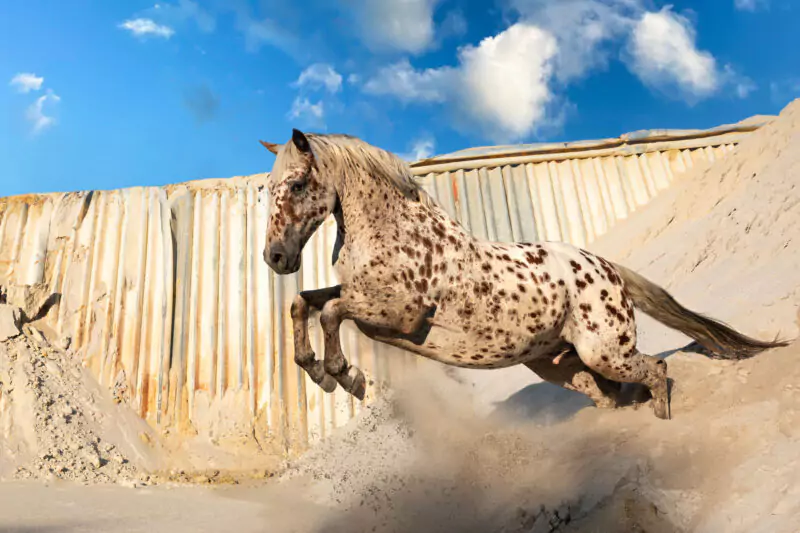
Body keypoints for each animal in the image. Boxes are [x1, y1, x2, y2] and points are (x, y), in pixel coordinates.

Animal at [258, 129, 788, 420]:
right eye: (268, 188)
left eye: (299, 184)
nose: (275, 258)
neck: (394, 230)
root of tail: (606, 267)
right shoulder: (360, 297)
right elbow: (304, 302)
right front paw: (317, 369)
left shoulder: (396, 314)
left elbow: (330, 311)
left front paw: (344, 376)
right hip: (564, 367)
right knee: (613, 399)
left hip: (604, 353)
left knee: (656, 370)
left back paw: (662, 423)